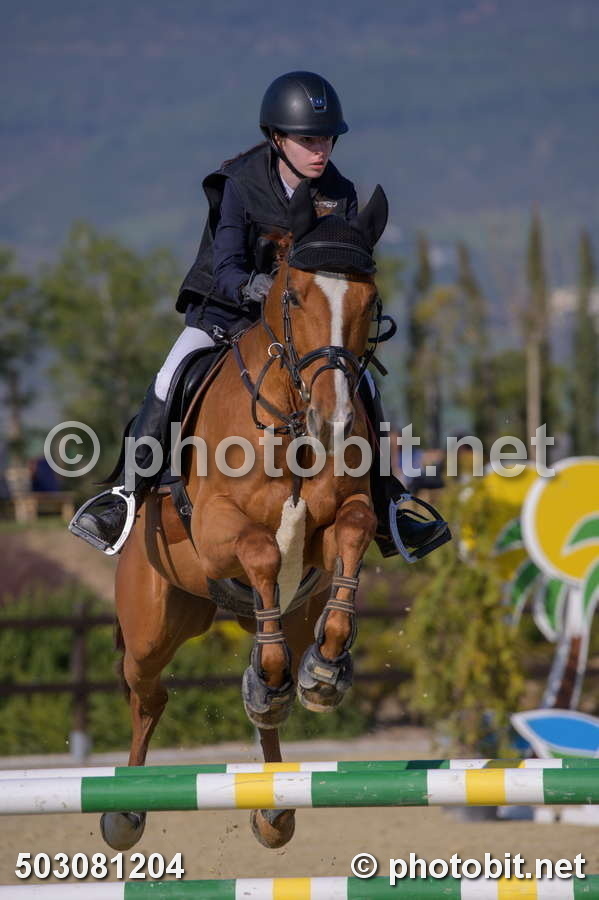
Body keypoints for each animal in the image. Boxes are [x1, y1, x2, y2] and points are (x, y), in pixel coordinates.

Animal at [102, 180, 389, 851]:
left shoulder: (339, 523)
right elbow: (259, 548)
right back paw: (124, 813)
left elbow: (354, 530)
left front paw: (326, 671)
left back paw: (274, 801)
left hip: (285, 608)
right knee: (148, 694)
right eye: (293, 295)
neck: (291, 420)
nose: (335, 421)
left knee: (266, 663)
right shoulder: (216, 530)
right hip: (153, 623)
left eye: (370, 299)